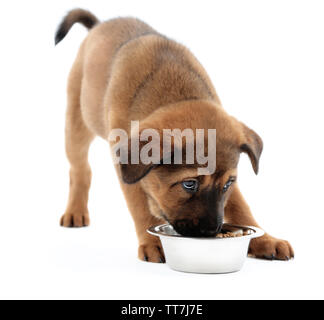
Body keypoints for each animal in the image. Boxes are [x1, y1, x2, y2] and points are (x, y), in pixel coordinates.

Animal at [55, 8, 294, 262]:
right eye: (189, 184)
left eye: (229, 183)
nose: (211, 232)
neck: (174, 93)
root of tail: (98, 25)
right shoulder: (128, 173)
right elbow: (141, 207)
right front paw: (153, 243)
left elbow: (241, 206)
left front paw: (265, 240)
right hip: (76, 128)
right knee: (80, 171)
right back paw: (75, 211)